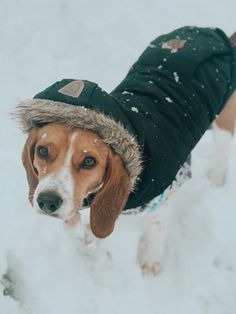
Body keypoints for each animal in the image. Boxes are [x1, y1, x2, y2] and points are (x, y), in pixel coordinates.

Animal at [13, 25, 236, 240]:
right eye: (42, 151)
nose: (47, 201)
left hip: (222, 125)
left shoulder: (162, 202)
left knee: (223, 153)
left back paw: (217, 177)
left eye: (89, 161)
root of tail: (217, 35)